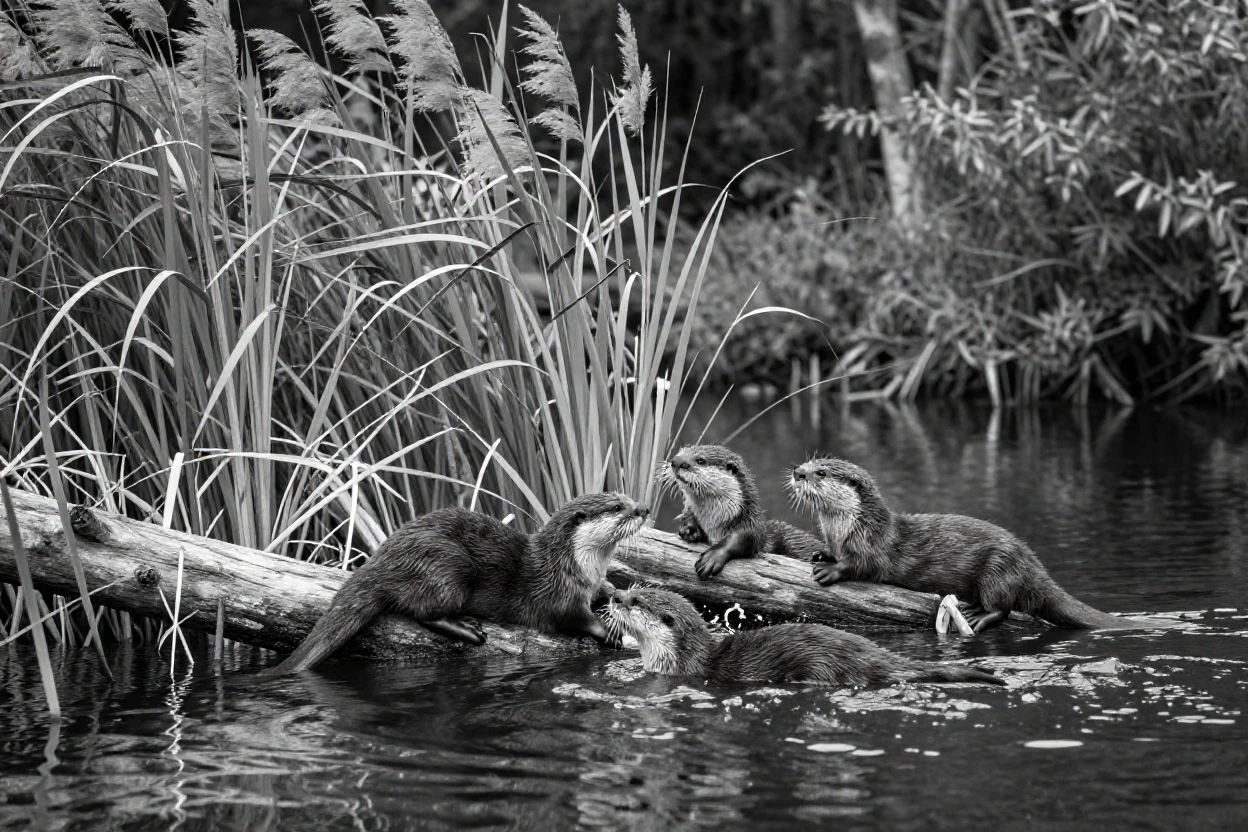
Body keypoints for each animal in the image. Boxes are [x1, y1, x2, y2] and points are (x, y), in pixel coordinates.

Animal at [266, 492, 649, 675]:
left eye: (628, 497)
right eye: (617, 507)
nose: (643, 508)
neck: (579, 566)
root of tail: (382, 559)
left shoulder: (590, 582)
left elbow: (605, 592)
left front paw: (617, 594)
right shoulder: (557, 590)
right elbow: (571, 617)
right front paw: (606, 631)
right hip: (446, 565)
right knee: (422, 610)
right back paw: (467, 629)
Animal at [659, 444, 823, 580]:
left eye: (700, 460)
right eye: (681, 451)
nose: (676, 461)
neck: (715, 523)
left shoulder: (753, 521)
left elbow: (744, 537)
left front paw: (713, 557)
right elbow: (689, 516)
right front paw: (689, 529)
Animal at [787, 457, 1152, 633]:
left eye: (820, 472)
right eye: (810, 462)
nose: (797, 472)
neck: (844, 530)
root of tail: (1032, 564)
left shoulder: (873, 546)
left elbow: (863, 566)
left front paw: (831, 570)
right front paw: (821, 554)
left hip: (998, 570)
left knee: (1004, 606)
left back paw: (979, 616)